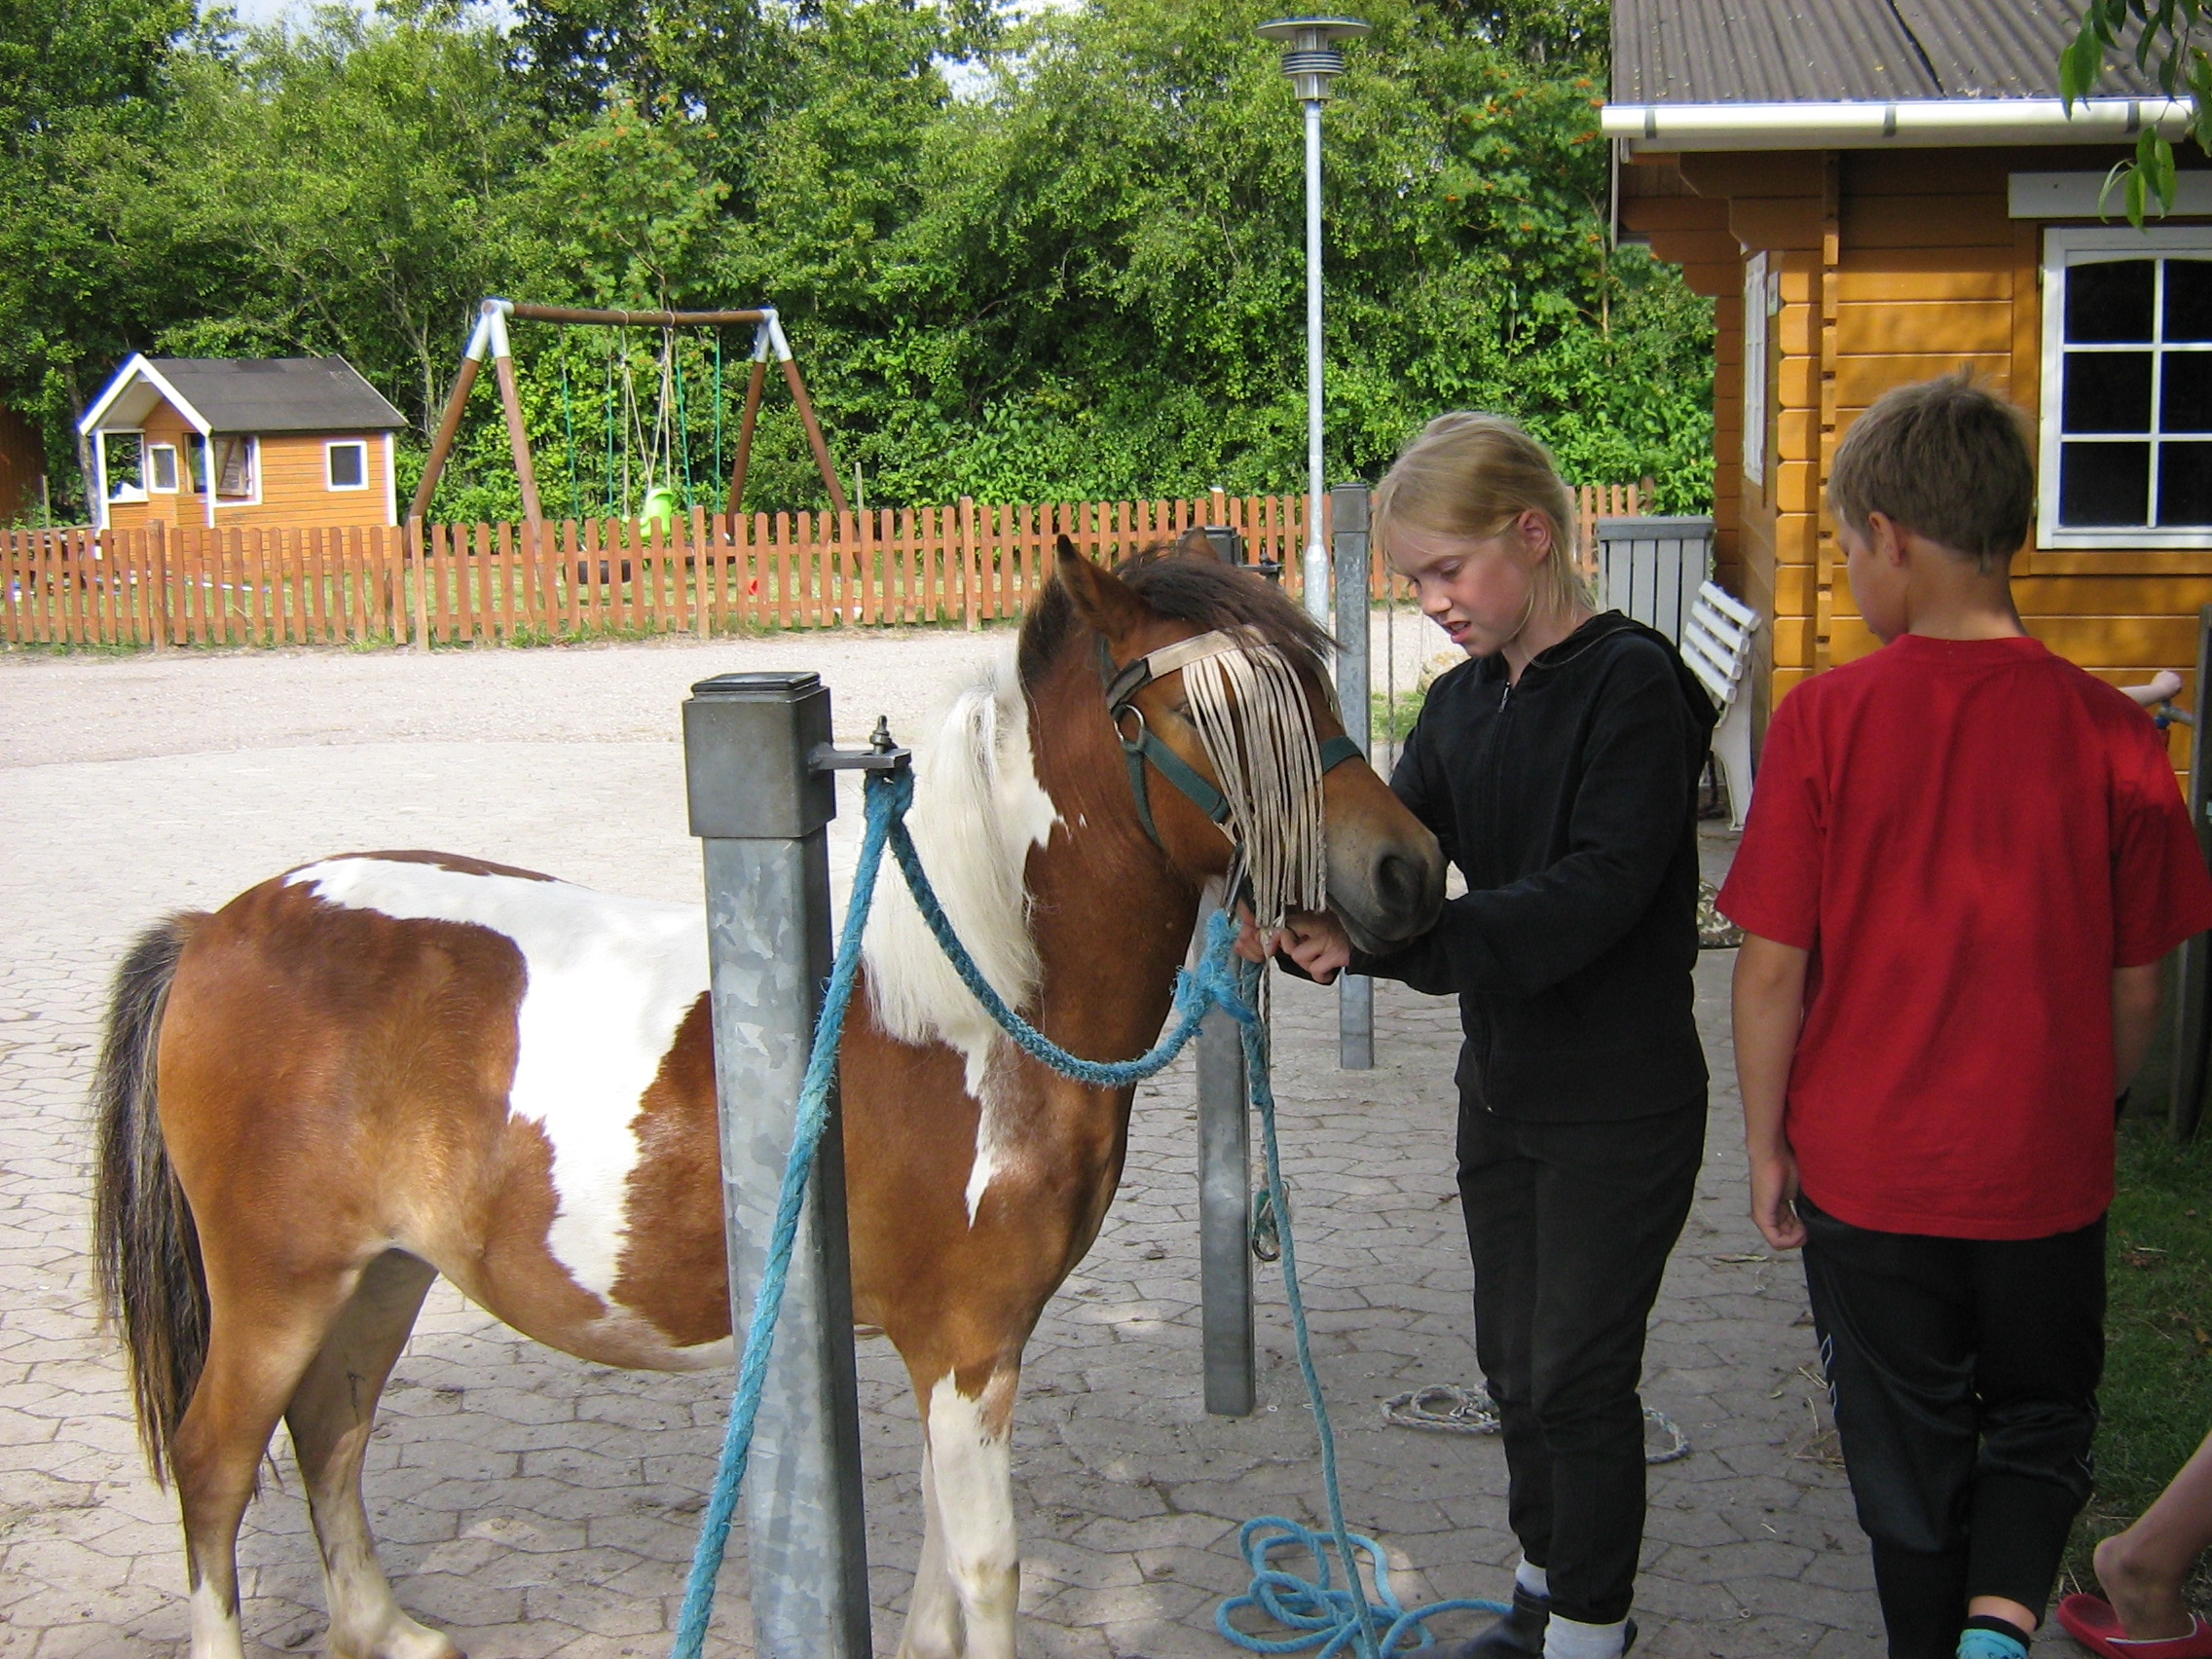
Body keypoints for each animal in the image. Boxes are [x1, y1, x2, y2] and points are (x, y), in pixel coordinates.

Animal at [91, 541, 1451, 1659]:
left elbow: (937, 1583)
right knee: (214, 1469)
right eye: (1216, 714)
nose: (1408, 870)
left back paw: (385, 1628)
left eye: (1317, 690)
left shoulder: (965, 1356)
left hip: (381, 1275)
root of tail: (215, 929)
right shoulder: (964, 1348)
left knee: (330, 1431)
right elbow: (987, 1573)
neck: (972, 1005)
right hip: (277, 1286)